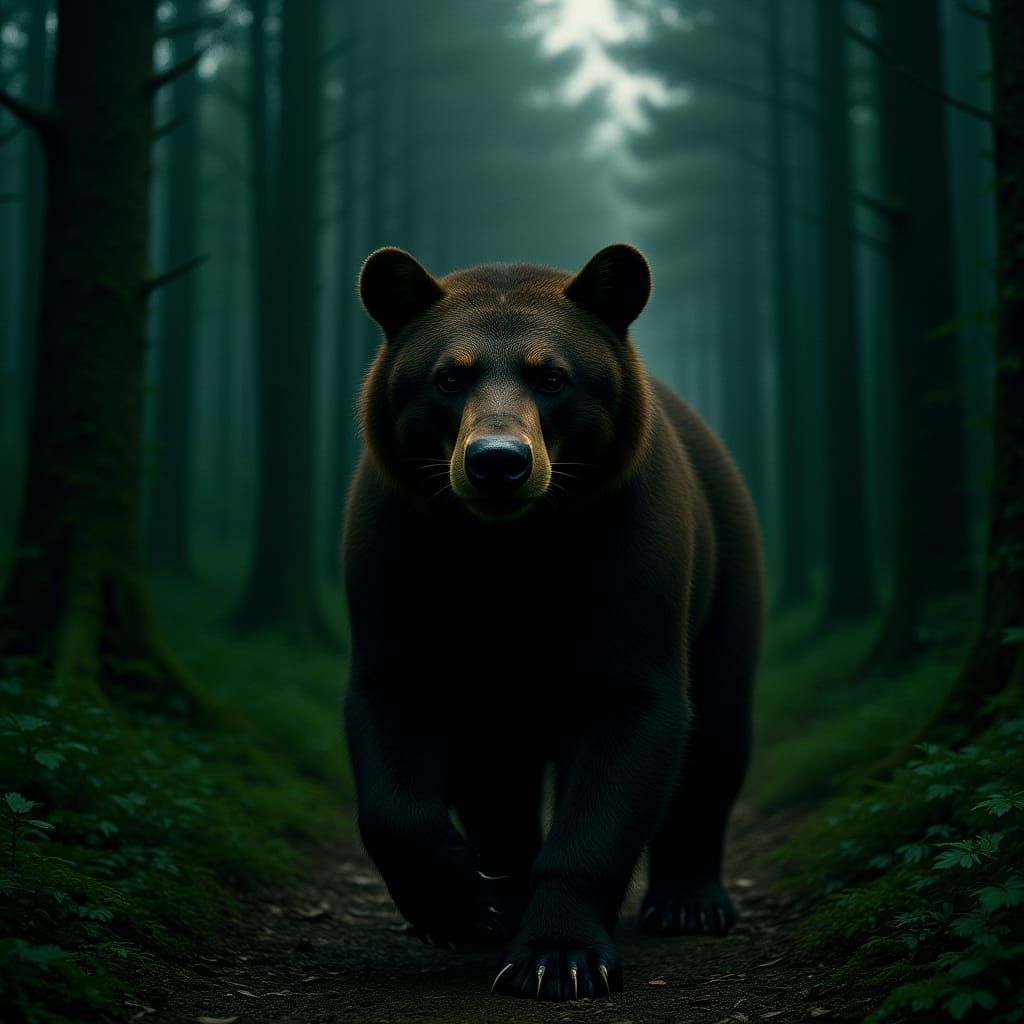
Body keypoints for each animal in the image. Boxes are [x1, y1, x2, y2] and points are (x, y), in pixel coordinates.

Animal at [343, 243, 764, 1001]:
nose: (497, 462)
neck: (510, 555)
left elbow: (624, 754)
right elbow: (393, 741)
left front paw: (558, 956)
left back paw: (688, 901)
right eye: (449, 377)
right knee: (494, 784)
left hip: (728, 585)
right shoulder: (398, 565)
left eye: (552, 377)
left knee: (718, 734)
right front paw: (460, 903)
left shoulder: (630, 563)